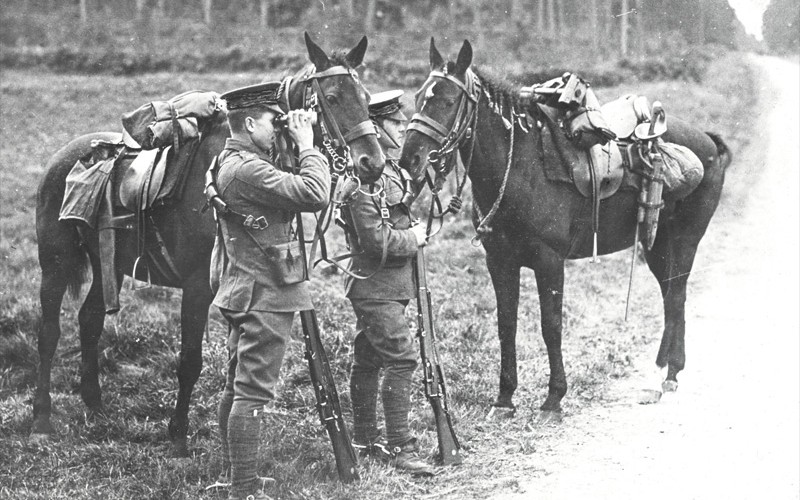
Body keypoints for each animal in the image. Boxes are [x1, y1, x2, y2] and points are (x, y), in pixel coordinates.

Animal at [30, 34, 382, 458]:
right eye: (331, 97)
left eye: (365, 96)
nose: (374, 163)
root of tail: (62, 158)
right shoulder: (197, 286)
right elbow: (190, 361)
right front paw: (179, 434)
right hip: (55, 264)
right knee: (49, 332)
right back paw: (42, 419)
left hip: (106, 263)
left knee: (90, 319)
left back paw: (94, 404)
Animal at [400, 39, 732, 420]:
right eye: (418, 96)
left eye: (448, 100)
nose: (409, 159)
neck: (523, 167)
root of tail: (708, 141)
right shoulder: (499, 261)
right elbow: (506, 324)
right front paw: (504, 398)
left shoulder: (549, 261)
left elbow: (551, 325)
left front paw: (553, 398)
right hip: (655, 245)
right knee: (670, 295)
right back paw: (666, 367)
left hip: (684, 240)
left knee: (676, 295)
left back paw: (669, 373)